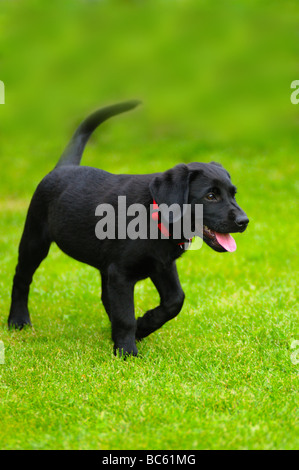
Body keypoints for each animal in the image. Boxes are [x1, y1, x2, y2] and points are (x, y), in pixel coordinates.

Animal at [8, 102, 250, 356]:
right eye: (211, 196)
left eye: (233, 194)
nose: (244, 221)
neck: (156, 218)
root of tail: (64, 167)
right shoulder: (121, 273)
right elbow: (125, 315)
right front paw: (126, 351)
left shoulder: (162, 265)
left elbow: (175, 301)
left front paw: (143, 325)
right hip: (34, 240)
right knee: (21, 278)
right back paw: (18, 321)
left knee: (106, 297)